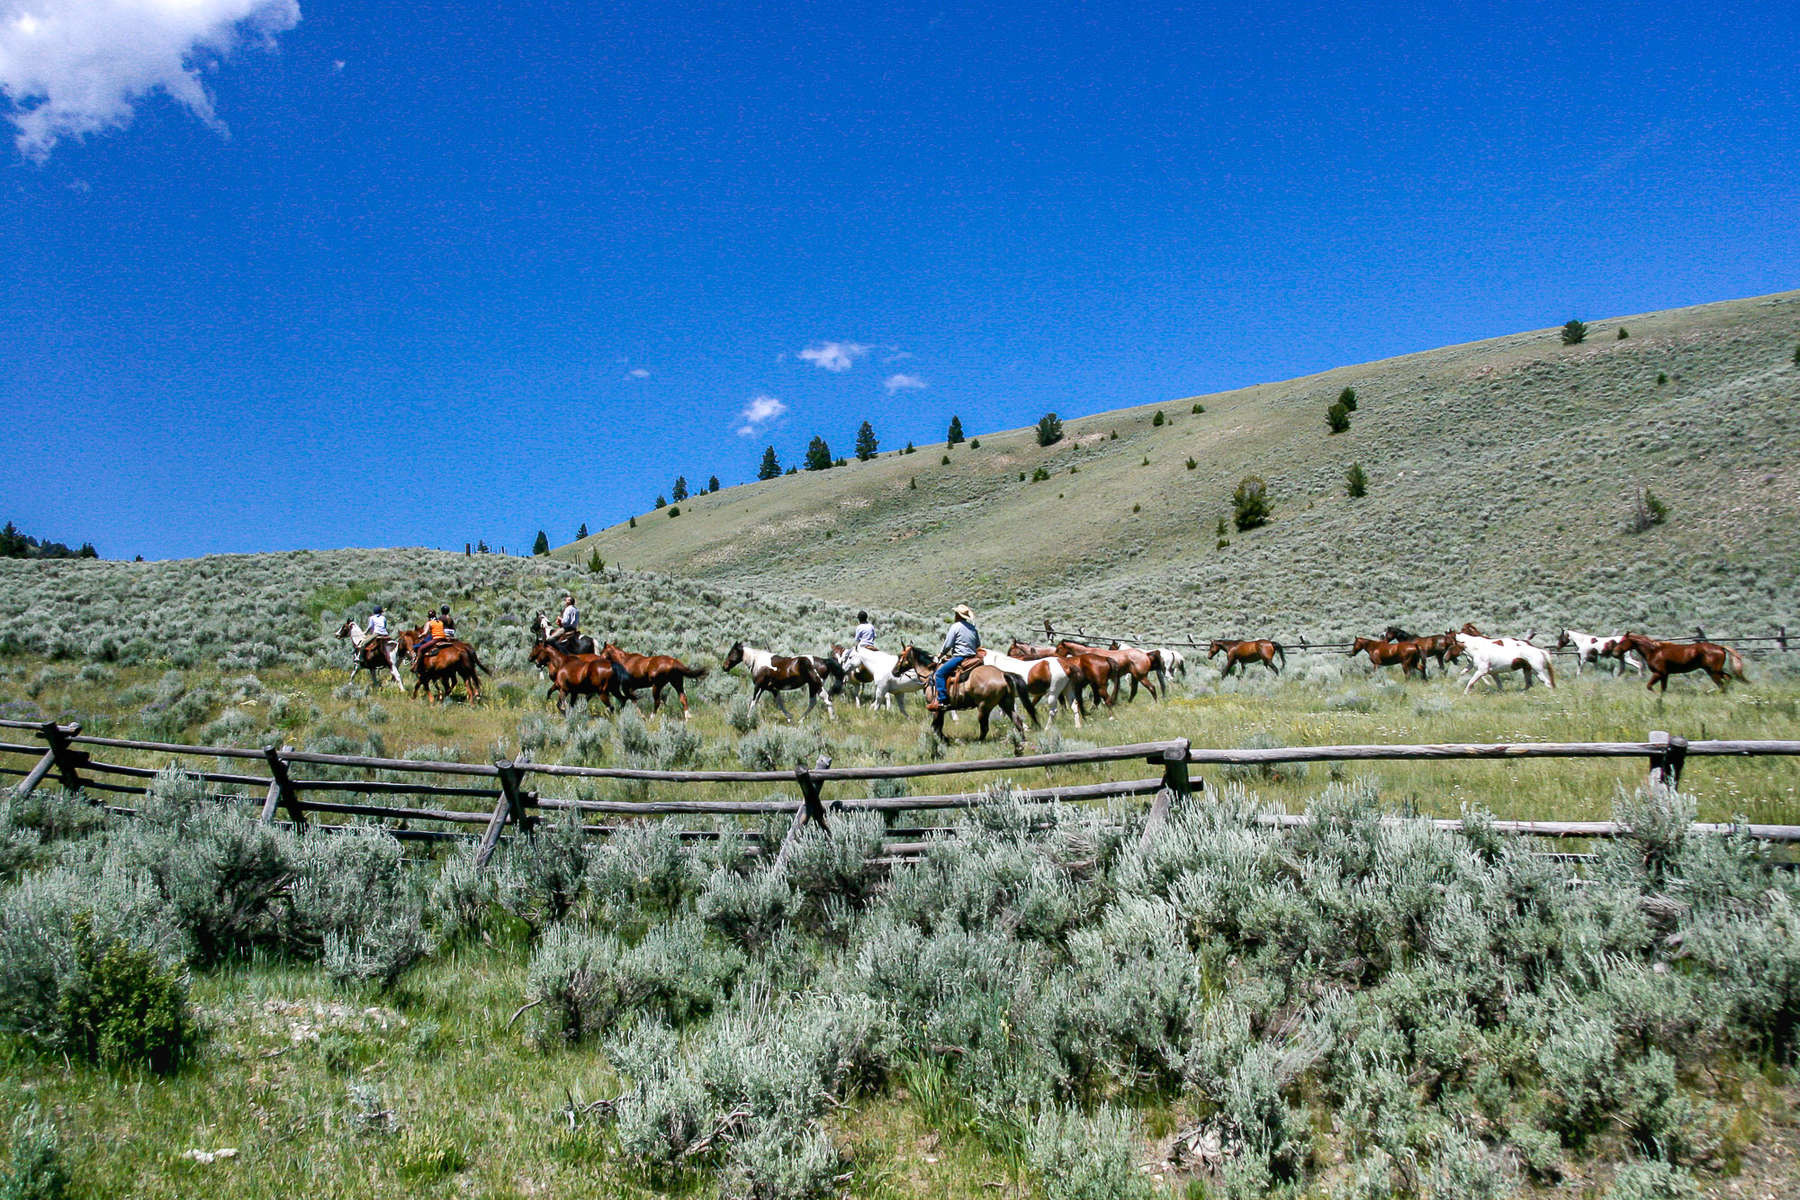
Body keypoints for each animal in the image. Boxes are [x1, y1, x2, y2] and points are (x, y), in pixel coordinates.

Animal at [1612, 629, 1749, 694]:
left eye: (1623, 641)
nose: (1615, 652)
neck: (1654, 651)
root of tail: (1720, 647)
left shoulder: (1659, 673)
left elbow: (1650, 687)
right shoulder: (1665, 675)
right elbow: (1663, 690)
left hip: (1714, 671)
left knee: (1722, 684)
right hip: (1713, 671)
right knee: (1727, 679)